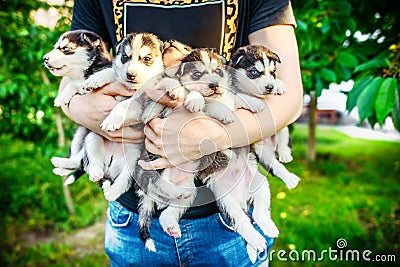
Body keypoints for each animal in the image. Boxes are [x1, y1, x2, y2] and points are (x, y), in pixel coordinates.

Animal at [43, 29, 112, 184]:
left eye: (65, 49)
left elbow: (109, 73)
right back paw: (60, 166)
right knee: (79, 161)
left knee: (82, 163)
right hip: (80, 136)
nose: (44, 58)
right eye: (55, 47)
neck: (84, 74)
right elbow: (72, 85)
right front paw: (61, 97)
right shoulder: (78, 85)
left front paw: (95, 79)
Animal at [228, 44, 300, 191]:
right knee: (276, 166)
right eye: (254, 72)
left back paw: (285, 154)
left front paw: (279, 84)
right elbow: (238, 97)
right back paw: (290, 179)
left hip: (282, 127)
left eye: (273, 72)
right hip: (263, 152)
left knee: (284, 141)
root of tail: (271, 144)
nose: (270, 87)